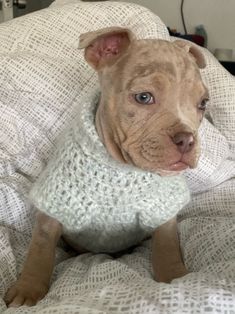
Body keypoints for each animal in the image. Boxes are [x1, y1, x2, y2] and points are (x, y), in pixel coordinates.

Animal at [4, 27, 208, 306]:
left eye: (203, 104)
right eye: (144, 97)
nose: (187, 140)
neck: (120, 169)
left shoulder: (163, 209)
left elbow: (167, 246)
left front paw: (175, 278)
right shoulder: (55, 204)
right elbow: (40, 248)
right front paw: (28, 290)